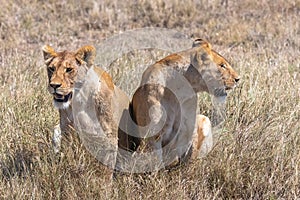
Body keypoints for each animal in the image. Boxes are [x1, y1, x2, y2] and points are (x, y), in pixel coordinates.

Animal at [131, 38, 239, 169]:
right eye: (222, 65)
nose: (238, 79)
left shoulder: (188, 129)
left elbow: (188, 155)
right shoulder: (153, 134)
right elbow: (157, 160)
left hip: (204, 119)